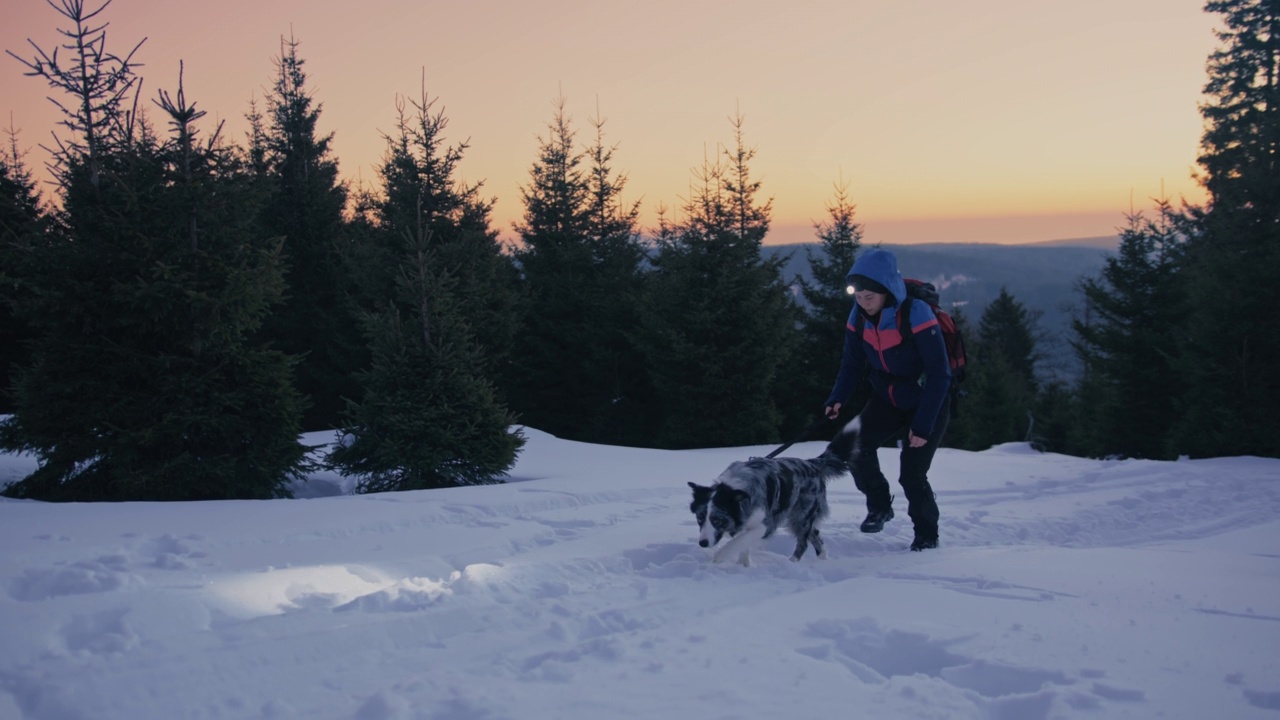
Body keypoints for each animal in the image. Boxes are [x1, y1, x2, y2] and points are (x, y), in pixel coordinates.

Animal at [691, 415, 860, 566]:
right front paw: (742, 564)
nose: (702, 543)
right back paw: (823, 560)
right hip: (799, 515)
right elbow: (743, 543)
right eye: (700, 518)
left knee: (804, 541)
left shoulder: (765, 524)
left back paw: (792, 562)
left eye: (717, 520)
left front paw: (720, 556)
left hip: (802, 513)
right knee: (815, 535)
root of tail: (812, 464)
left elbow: (741, 540)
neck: (735, 489)